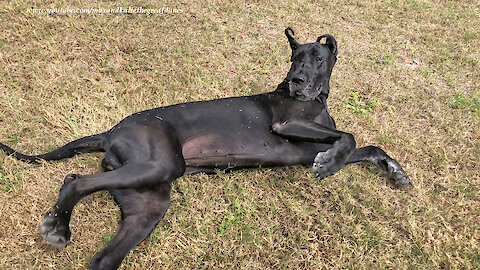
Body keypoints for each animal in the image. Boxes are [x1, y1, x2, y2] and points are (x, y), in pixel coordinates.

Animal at [1, 28, 410, 268]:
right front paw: (331, 165)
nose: (297, 81)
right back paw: (58, 227)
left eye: (318, 58)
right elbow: (350, 136)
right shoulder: (288, 124)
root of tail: (112, 129)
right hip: (158, 164)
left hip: (148, 202)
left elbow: (365, 145)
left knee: (103, 258)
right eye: (295, 57)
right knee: (75, 180)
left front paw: (395, 171)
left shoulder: (311, 145)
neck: (317, 99)